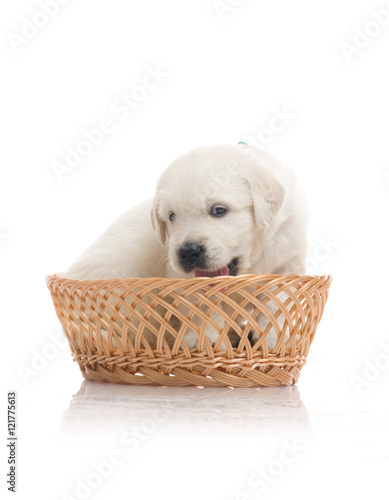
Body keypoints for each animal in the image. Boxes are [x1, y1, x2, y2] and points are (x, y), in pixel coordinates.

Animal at [63, 143, 308, 350]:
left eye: (219, 210)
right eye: (172, 216)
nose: (188, 252)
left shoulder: (288, 260)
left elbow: (278, 300)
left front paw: (273, 335)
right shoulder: (184, 280)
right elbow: (204, 306)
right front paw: (205, 339)